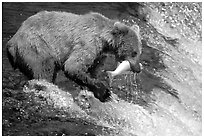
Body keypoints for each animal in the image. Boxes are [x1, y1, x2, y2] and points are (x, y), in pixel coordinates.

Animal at [6, 10, 142, 102]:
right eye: (134, 53)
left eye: (139, 52)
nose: (138, 69)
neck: (105, 41)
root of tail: (12, 42)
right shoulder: (88, 44)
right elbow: (73, 66)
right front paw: (103, 91)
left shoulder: (99, 55)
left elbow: (92, 70)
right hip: (37, 47)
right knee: (44, 70)